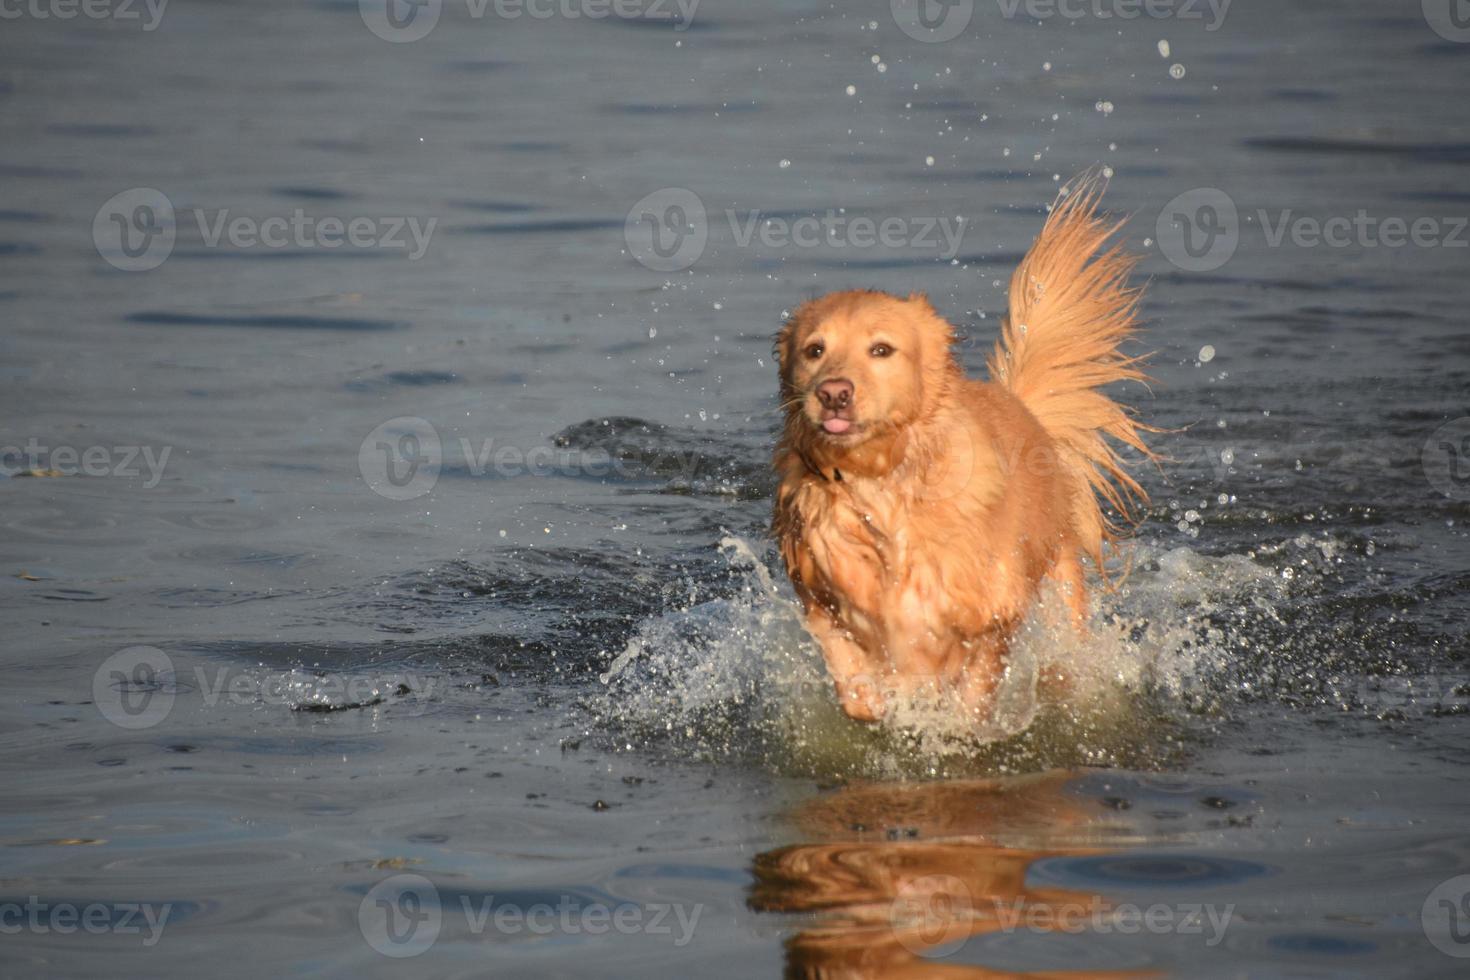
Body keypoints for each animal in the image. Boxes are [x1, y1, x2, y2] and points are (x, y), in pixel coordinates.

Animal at [776, 179, 1152, 725]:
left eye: (881, 350)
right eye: (814, 350)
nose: (833, 393)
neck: (884, 483)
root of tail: (1021, 406)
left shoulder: (991, 610)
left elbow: (975, 689)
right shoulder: (820, 595)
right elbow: (852, 679)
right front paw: (876, 702)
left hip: (1060, 583)